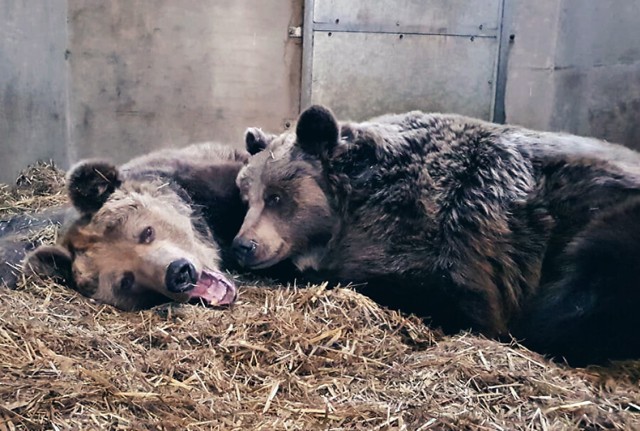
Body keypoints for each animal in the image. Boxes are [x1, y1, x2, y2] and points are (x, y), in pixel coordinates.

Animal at [232, 104, 640, 364]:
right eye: (246, 195)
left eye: (277, 196)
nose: (244, 245)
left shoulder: (449, 240)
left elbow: (433, 290)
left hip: (606, 223)